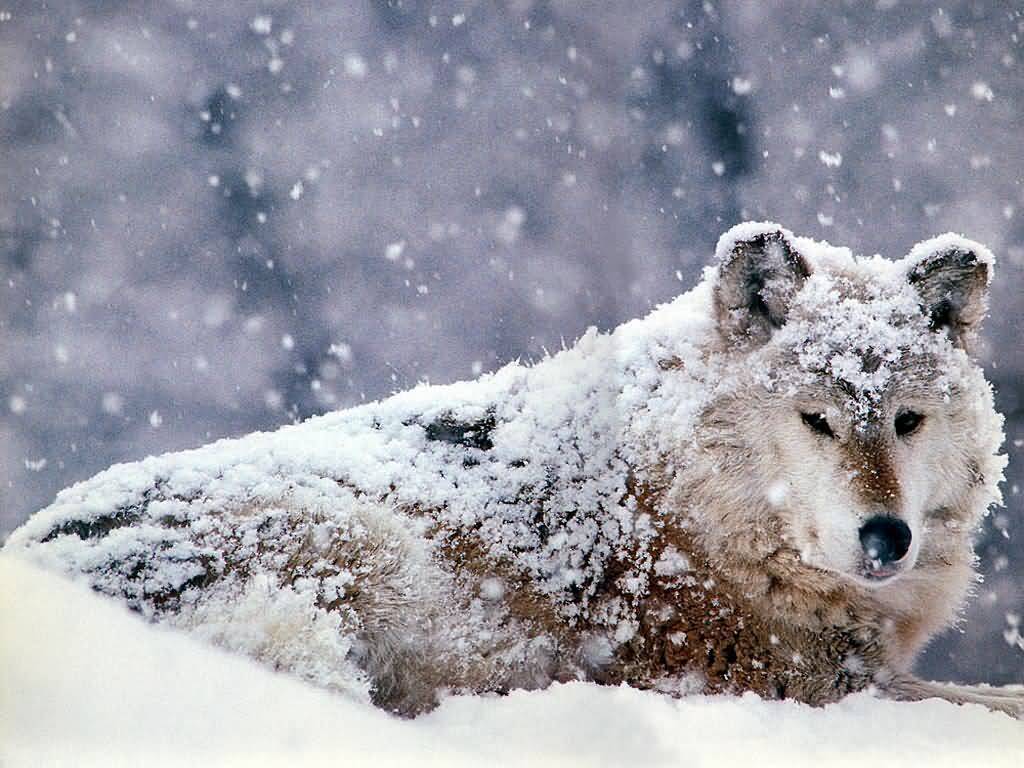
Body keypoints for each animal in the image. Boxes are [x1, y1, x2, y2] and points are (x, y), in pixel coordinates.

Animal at [5, 222, 1021, 717]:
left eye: (907, 421)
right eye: (816, 420)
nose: (886, 537)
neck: (686, 502)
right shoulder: (787, 678)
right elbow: (988, 699)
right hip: (357, 538)